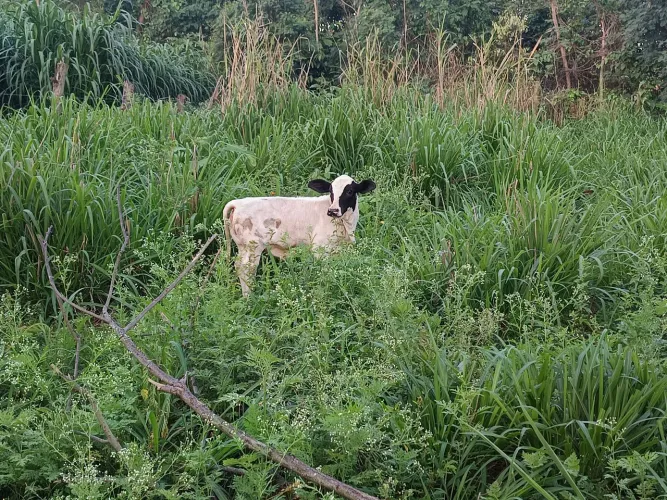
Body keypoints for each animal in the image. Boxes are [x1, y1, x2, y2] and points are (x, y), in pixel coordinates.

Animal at [222, 175, 376, 296]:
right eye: (331, 191)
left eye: (350, 191)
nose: (332, 210)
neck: (346, 226)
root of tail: (237, 203)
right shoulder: (319, 249)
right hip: (252, 247)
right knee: (246, 270)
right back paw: (249, 298)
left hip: (244, 247)